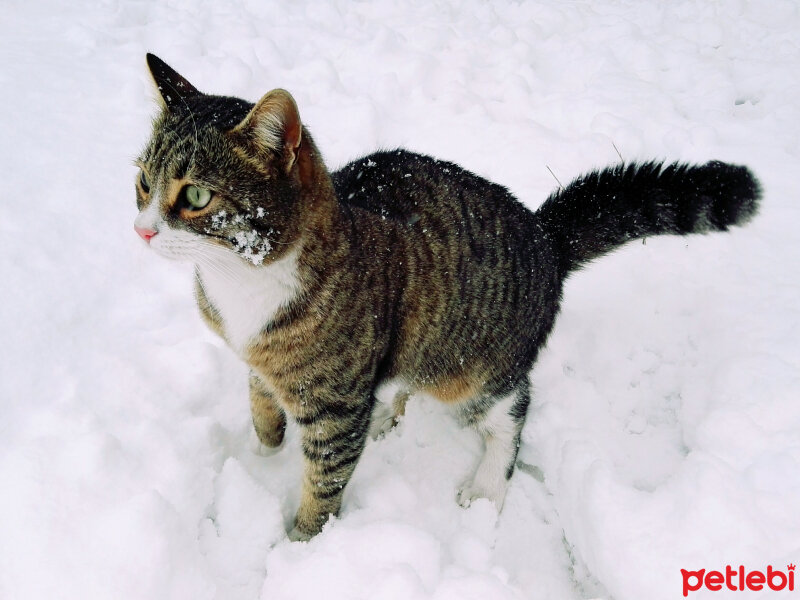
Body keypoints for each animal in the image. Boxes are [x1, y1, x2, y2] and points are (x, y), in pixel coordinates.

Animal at [134, 52, 760, 540]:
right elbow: (262, 407)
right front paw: (261, 459)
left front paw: (299, 548)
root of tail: (545, 236)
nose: (141, 230)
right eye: (142, 181)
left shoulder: (335, 407)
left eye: (196, 196)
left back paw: (485, 486)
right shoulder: (258, 361)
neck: (239, 282)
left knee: (512, 410)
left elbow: (323, 485)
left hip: (472, 373)